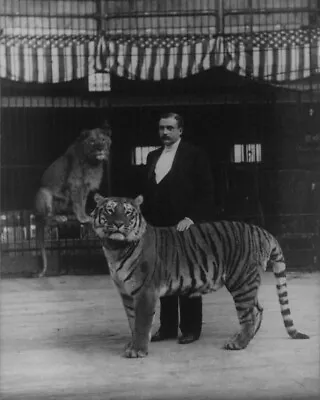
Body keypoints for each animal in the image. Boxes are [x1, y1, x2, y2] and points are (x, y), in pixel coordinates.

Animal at [34, 122, 112, 278]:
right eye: (92, 141)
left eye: (103, 140)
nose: (100, 148)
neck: (93, 163)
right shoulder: (76, 184)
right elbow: (78, 203)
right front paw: (83, 218)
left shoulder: (86, 187)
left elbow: (82, 203)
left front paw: (84, 216)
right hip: (43, 192)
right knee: (45, 218)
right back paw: (59, 218)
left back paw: (65, 215)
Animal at [89, 194, 308, 360]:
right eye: (109, 210)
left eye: (128, 212)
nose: (119, 224)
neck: (114, 248)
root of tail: (261, 230)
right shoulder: (127, 293)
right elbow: (132, 322)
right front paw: (132, 344)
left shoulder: (145, 292)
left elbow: (141, 323)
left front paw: (138, 350)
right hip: (246, 282)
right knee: (258, 308)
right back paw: (245, 337)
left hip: (241, 281)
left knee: (249, 314)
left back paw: (238, 343)